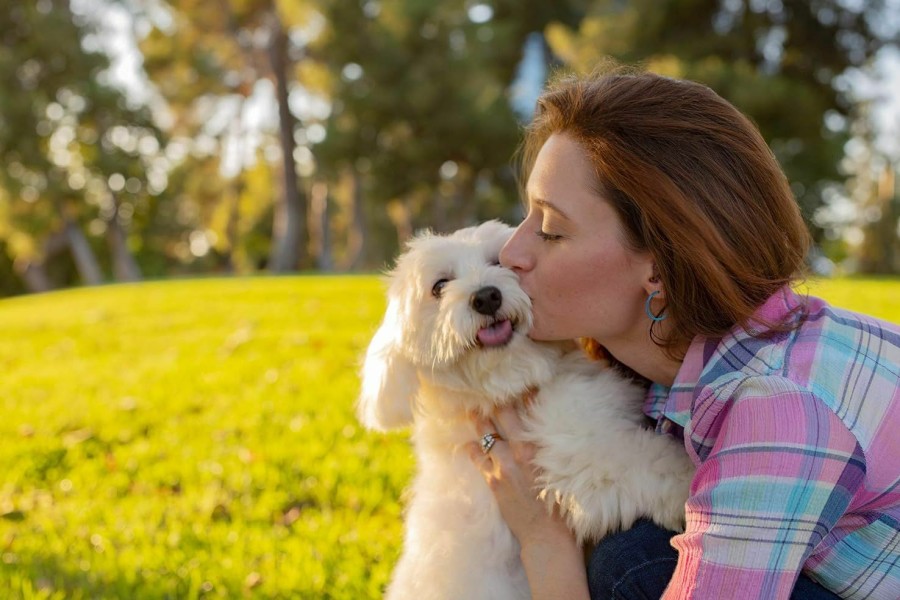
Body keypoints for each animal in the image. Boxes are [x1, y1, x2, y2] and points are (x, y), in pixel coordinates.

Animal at [360, 221, 696, 600]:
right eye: (439, 286)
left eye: (499, 262)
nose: (486, 296)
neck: (509, 385)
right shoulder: (578, 456)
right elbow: (650, 463)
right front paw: (690, 483)